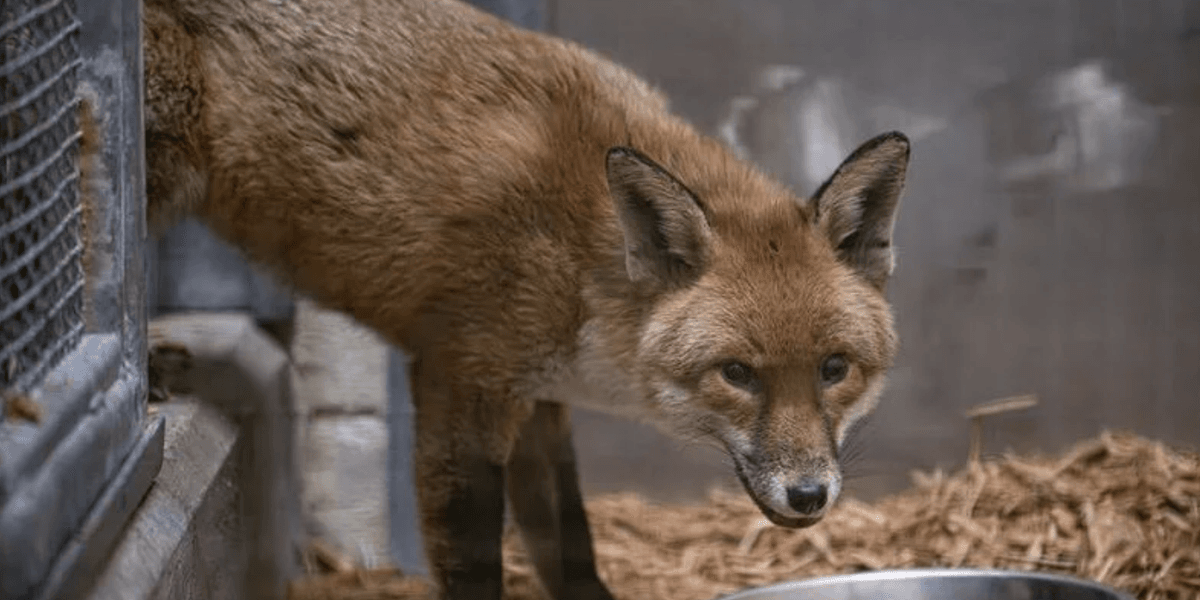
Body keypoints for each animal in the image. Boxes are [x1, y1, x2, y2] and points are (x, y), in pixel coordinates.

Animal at [141, 0, 911, 598]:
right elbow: (478, 562)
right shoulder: (460, 383)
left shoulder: (541, 399)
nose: (809, 494)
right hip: (163, 167)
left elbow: (567, 542)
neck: (579, 259)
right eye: (738, 374)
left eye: (834, 369)